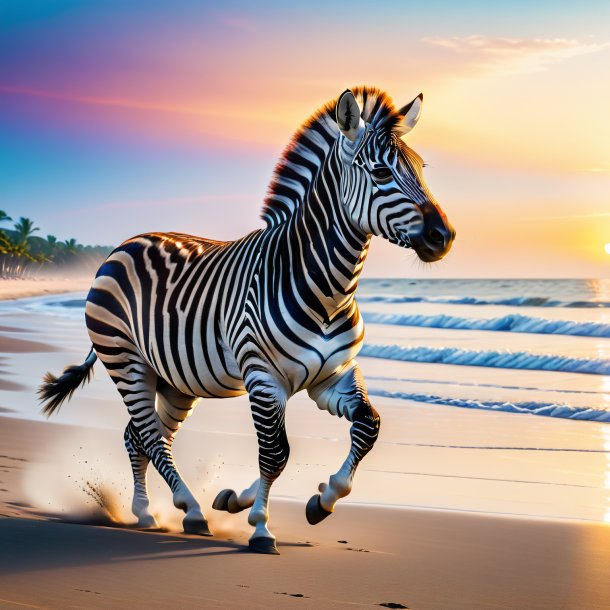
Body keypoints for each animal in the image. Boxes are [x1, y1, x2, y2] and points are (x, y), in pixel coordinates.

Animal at [38, 83, 454, 552]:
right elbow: (275, 454)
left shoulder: (331, 377)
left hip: (174, 379)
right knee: (148, 436)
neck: (327, 290)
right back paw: (187, 510)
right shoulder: (262, 378)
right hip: (126, 361)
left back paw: (147, 512)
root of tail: (125, 244)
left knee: (140, 436)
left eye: (422, 169)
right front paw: (260, 526)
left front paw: (316, 499)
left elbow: (368, 426)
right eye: (381, 173)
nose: (444, 237)